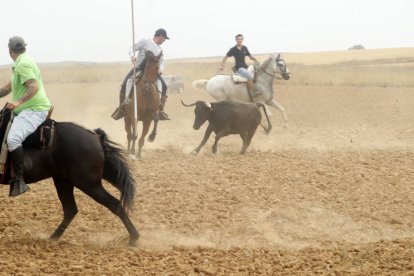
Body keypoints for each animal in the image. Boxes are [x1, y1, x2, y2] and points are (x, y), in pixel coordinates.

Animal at [0, 108, 139, 246]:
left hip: (88, 184)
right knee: (70, 210)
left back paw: (133, 238)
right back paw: (53, 238)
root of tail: (95, 136)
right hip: (64, 181)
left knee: (114, 204)